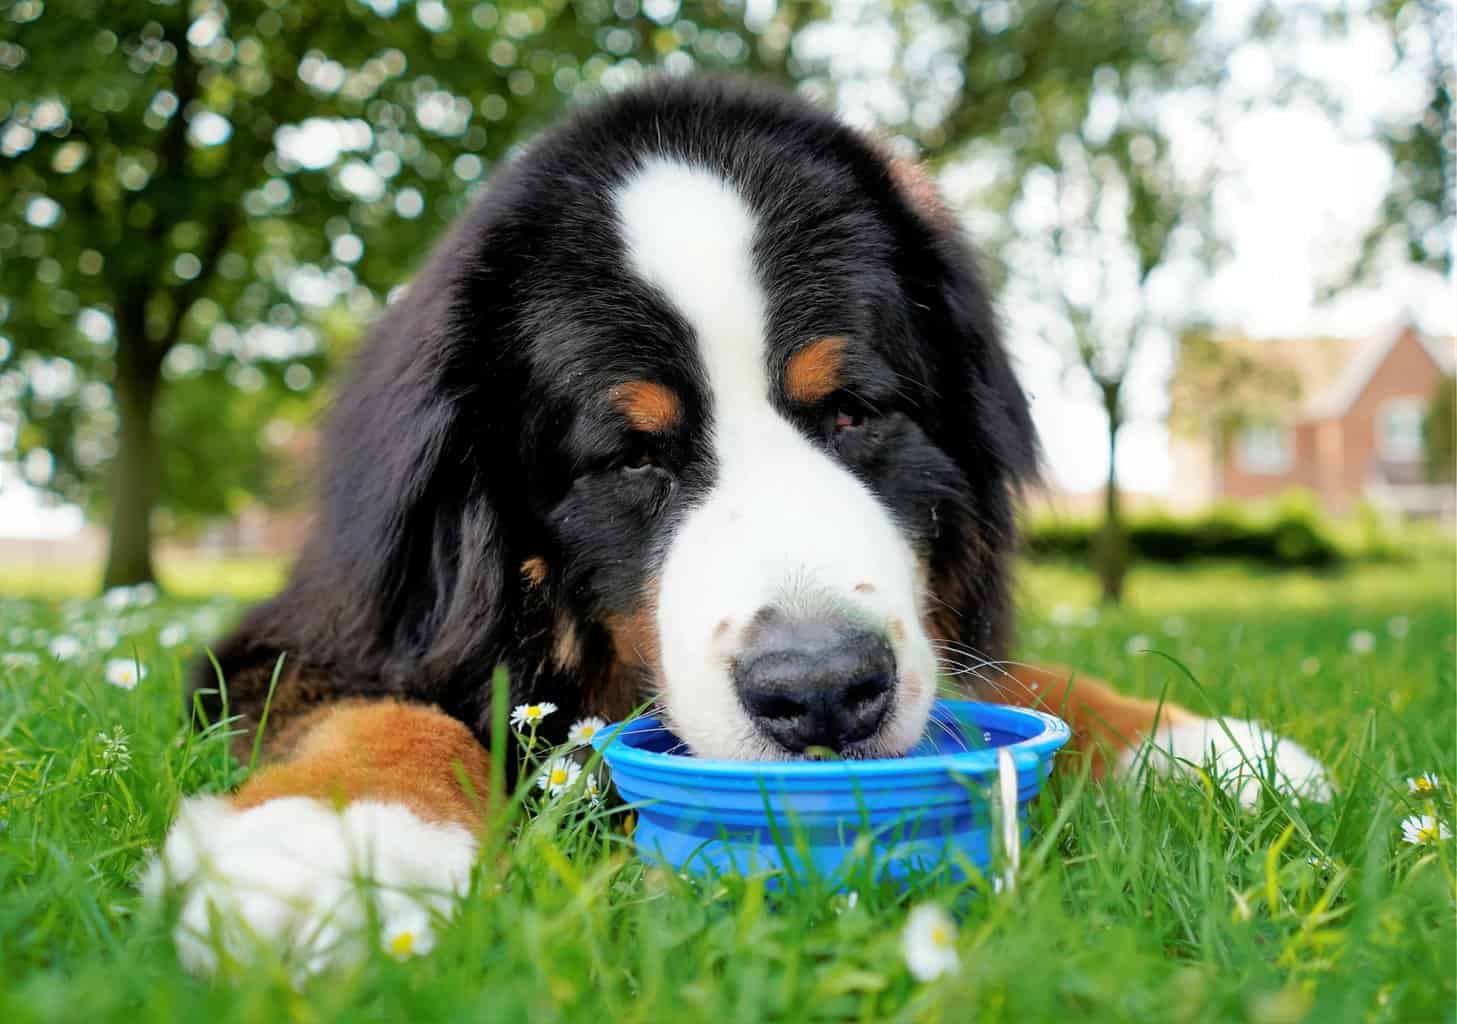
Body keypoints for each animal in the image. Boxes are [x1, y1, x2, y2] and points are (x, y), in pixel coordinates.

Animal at [147, 76, 1334, 973]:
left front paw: (1193, 743)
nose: (821, 691)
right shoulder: (299, 642)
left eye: (851, 410)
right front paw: (332, 846)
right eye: (633, 455)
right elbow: (389, 714)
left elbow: (1020, 681)